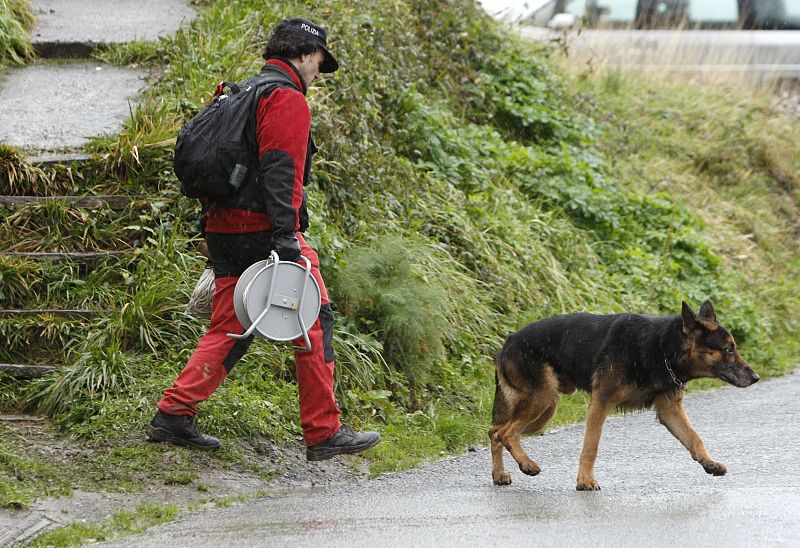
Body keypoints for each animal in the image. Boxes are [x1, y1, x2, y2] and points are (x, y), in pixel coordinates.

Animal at [490, 302, 760, 490]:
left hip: (545, 410)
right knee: (506, 432)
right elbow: (591, 447)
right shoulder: (600, 404)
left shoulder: (670, 411)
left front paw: (709, 463)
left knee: (495, 432)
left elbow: (695, 438)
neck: (661, 347)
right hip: (542, 401)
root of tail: (508, 341)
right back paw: (527, 465)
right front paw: (585, 481)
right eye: (729, 349)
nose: (756, 377)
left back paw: (499, 475)